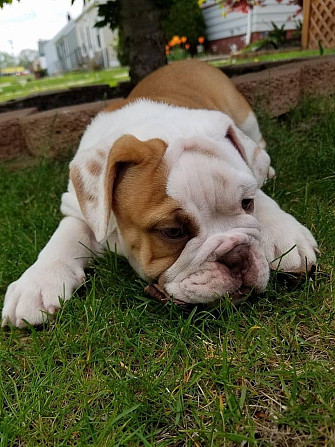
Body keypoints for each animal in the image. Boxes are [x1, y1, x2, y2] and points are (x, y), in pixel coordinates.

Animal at [1, 59, 318, 328]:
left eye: (246, 203)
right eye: (172, 232)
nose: (237, 255)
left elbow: (262, 197)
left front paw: (284, 236)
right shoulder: (77, 208)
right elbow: (63, 238)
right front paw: (36, 282)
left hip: (244, 117)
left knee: (257, 147)